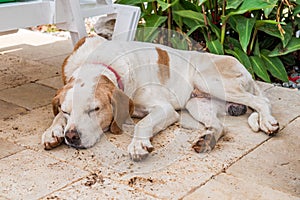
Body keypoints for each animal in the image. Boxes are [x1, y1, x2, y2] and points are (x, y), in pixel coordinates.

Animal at [41, 36, 278, 161]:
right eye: (66, 111)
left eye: (95, 109)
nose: (71, 137)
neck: (98, 63)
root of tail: (244, 67)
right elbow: (56, 118)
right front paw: (53, 131)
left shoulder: (164, 109)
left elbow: (143, 124)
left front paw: (138, 144)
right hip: (196, 103)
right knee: (221, 126)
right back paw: (207, 140)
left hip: (211, 81)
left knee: (261, 102)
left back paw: (268, 121)